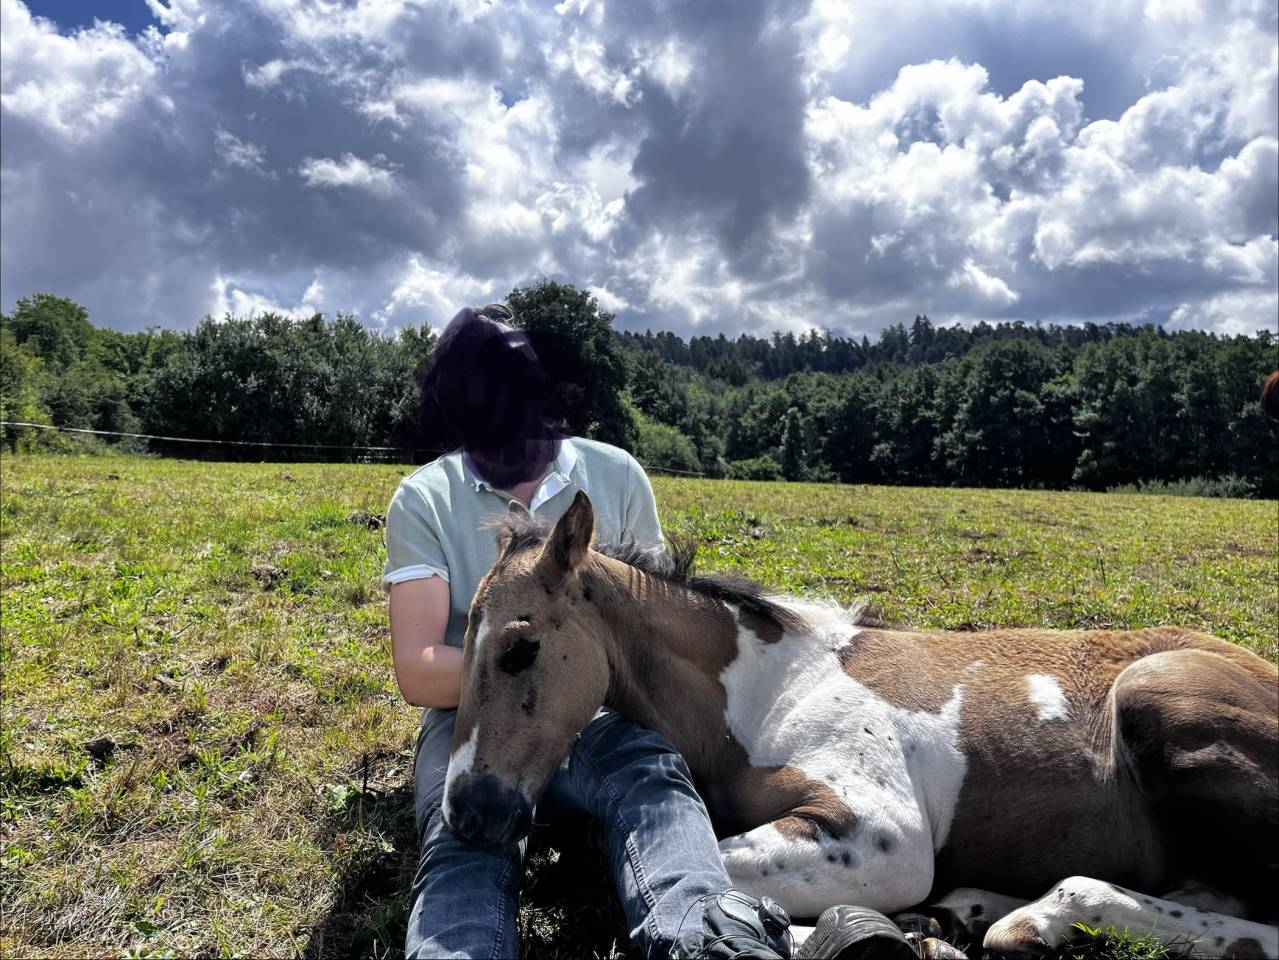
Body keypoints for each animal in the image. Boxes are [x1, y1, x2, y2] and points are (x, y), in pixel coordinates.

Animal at [442, 491, 1278, 958]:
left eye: (517, 650)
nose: (469, 813)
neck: (765, 689)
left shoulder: (882, 837)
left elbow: (678, 877)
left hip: (1154, 696)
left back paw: (1029, 918)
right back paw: (973, 917)